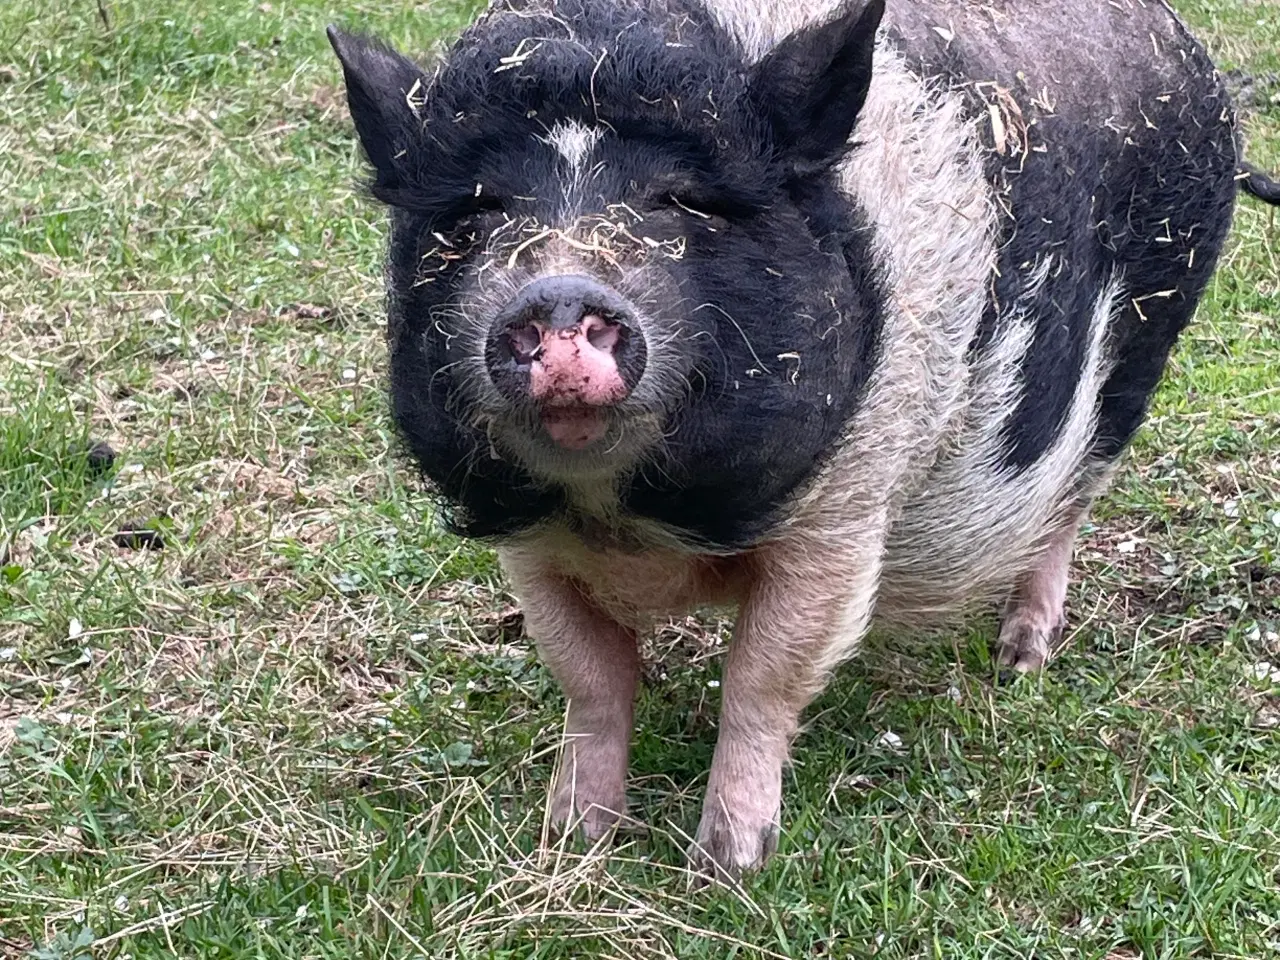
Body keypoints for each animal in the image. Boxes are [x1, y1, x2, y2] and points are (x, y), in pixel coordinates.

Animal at [330, 0, 1280, 880]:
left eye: (683, 199)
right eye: (476, 211)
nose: (559, 294)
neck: (632, 527)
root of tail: (1185, 48)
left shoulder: (842, 518)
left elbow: (762, 677)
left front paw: (727, 868)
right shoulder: (528, 542)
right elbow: (591, 679)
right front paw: (573, 841)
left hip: (1142, 359)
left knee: (1069, 505)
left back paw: (1021, 660)